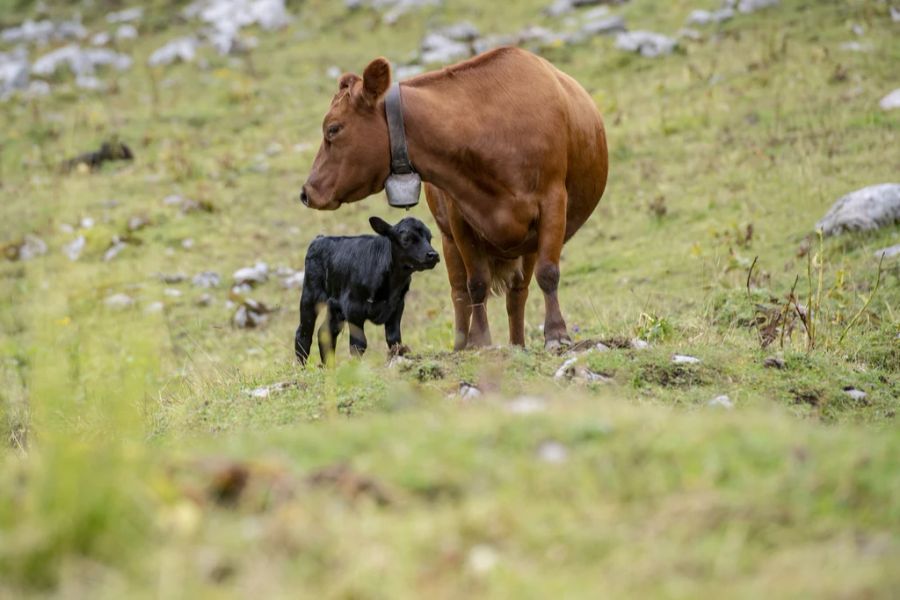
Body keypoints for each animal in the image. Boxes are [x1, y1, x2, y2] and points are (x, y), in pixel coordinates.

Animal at [296, 217, 440, 366]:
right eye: (406, 238)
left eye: (430, 237)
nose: (433, 254)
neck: (393, 283)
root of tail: (320, 238)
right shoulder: (353, 308)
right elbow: (358, 344)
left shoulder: (397, 306)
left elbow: (394, 339)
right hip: (310, 295)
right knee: (304, 333)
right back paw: (302, 368)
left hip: (335, 306)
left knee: (325, 332)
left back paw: (329, 368)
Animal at [298, 48, 608, 352]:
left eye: (333, 128)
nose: (307, 191)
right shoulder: (460, 217)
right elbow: (476, 284)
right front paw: (480, 340)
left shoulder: (553, 202)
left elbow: (548, 273)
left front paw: (557, 334)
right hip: (449, 241)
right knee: (460, 292)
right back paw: (462, 345)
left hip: (527, 245)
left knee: (517, 293)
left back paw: (517, 344)